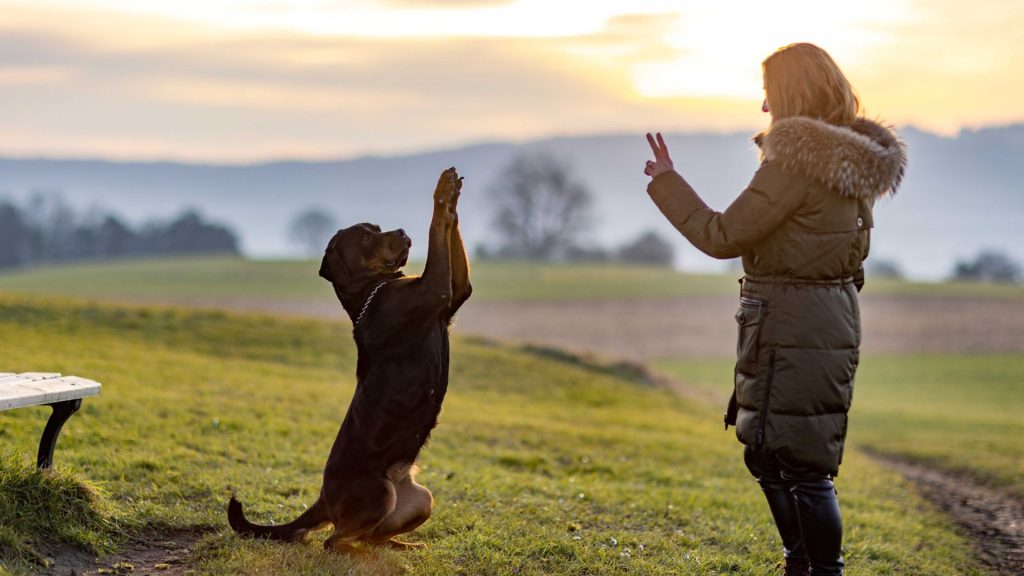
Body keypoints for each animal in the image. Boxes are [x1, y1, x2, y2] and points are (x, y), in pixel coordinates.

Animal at [228, 167, 471, 553]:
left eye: (379, 228)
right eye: (367, 237)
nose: (401, 231)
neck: (373, 290)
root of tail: (323, 499)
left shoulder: (456, 291)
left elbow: (449, 237)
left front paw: (452, 194)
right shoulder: (436, 288)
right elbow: (436, 230)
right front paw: (441, 193)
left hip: (421, 498)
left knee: (372, 535)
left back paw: (400, 546)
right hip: (377, 494)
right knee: (334, 539)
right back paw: (353, 549)